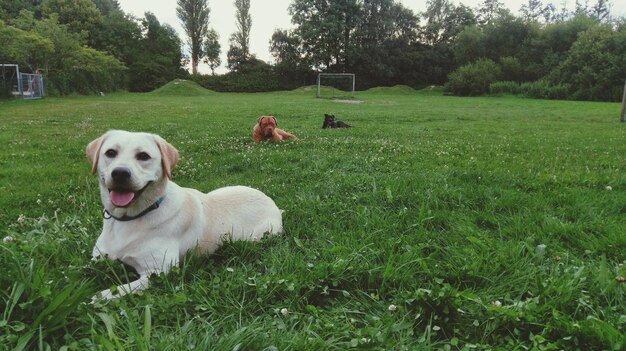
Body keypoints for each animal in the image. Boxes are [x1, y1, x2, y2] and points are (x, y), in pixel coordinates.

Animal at [86, 131, 282, 302]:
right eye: (110, 153)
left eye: (143, 156)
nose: (120, 173)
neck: (131, 217)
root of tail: (273, 203)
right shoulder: (96, 259)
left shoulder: (157, 272)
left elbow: (119, 290)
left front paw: (100, 296)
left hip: (256, 237)